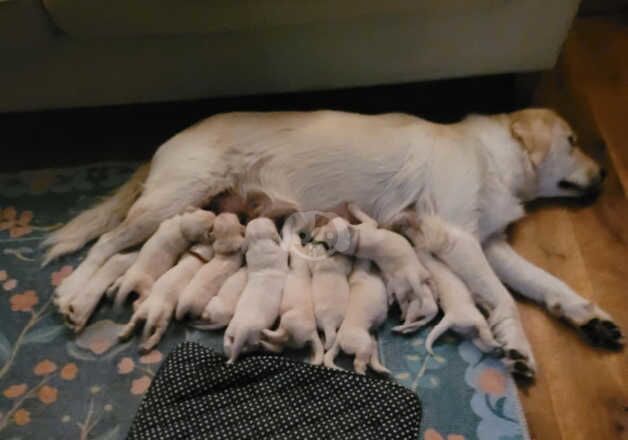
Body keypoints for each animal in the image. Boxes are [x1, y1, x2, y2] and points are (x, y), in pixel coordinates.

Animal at [223, 217, 288, 364]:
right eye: (270, 222)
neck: (260, 243)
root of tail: (242, 330)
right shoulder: (281, 252)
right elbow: (284, 249)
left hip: (229, 334)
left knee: (234, 347)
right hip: (255, 335)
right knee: (256, 345)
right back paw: (264, 345)